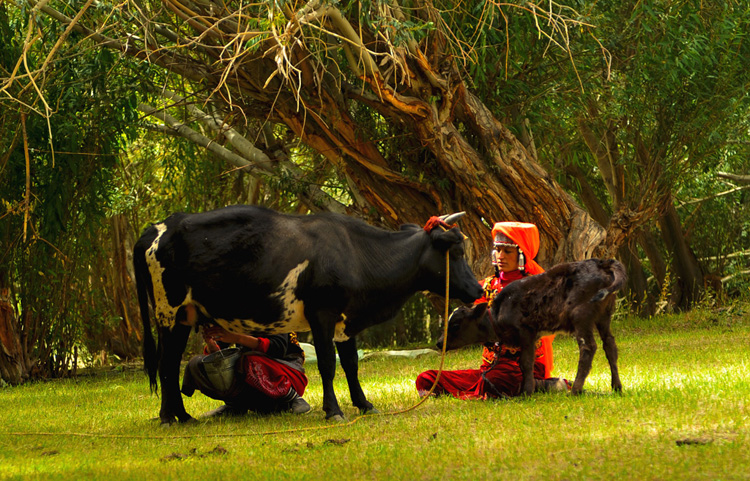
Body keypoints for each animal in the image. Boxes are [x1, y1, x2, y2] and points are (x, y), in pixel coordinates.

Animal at [133, 204, 482, 422]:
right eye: (457, 249)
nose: (478, 290)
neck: (357, 254)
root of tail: (155, 229)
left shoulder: (345, 321)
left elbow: (351, 364)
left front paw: (364, 404)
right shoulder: (322, 314)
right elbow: (328, 364)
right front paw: (334, 410)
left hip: (183, 317)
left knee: (171, 363)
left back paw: (182, 415)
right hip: (167, 312)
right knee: (165, 364)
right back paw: (169, 417)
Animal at [440, 258, 628, 394]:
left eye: (455, 324)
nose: (439, 343)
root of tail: (602, 262)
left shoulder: (526, 332)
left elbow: (526, 362)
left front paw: (527, 391)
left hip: (581, 317)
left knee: (588, 347)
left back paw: (575, 390)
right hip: (604, 316)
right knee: (609, 345)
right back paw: (616, 387)